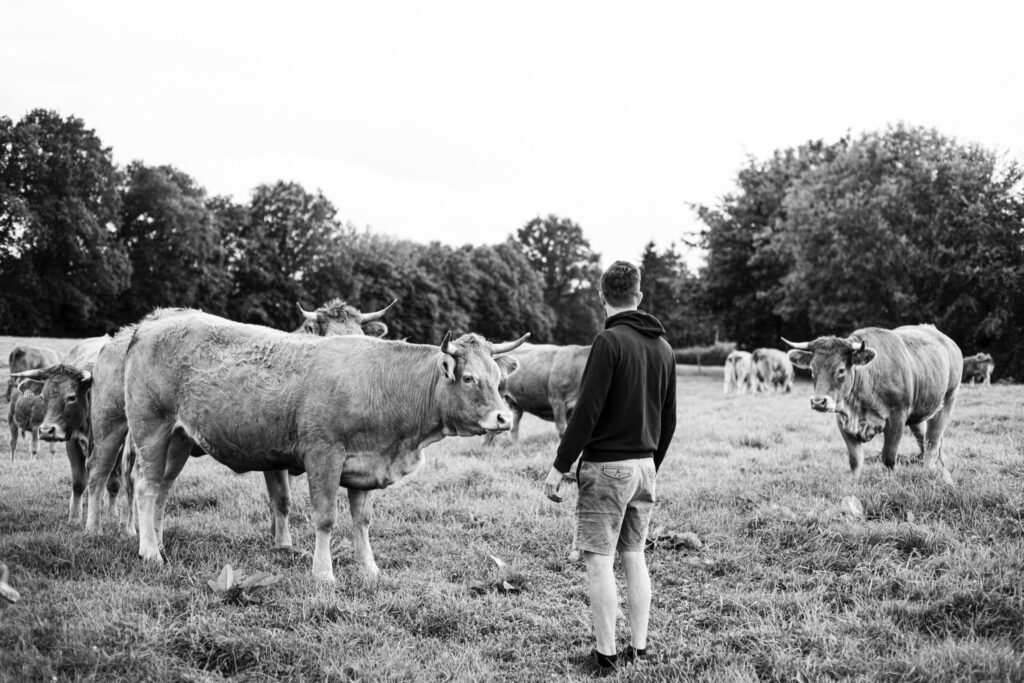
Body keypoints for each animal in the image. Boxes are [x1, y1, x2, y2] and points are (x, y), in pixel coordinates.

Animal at [11, 336, 112, 523]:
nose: (46, 431)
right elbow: (79, 482)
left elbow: (111, 480)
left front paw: (110, 514)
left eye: (71, 397)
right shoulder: (72, 442)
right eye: (42, 396)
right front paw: (74, 518)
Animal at [84, 299, 397, 537]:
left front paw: (277, 539)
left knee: (148, 482)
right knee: (100, 473)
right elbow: (282, 500)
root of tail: (135, 329)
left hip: (165, 440)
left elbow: (282, 502)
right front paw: (283, 543)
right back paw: (95, 529)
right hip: (111, 425)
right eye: (332, 339)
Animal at [124, 311, 526, 581]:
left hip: (179, 439)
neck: (380, 382)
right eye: (470, 378)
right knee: (145, 487)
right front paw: (323, 573)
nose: (503, 418)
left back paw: (158, 543)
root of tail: (150, 324)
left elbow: (362, 520)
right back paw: (150, 553)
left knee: (162, 489)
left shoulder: (365, 465)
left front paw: (369, 568)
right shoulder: (323, 457)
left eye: (498, 377)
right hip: (151, 430)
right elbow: (326, 518)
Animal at [784, 324, 962, 484]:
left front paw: (890, 482)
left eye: (841, 370)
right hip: (918, 412)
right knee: (924, 437)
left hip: (948, 398)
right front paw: (853, 485)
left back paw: (930, 470)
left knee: (933, 438)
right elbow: (855, 460)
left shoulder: (897, 417)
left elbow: (888, 457)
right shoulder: (843, 422)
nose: (818, 401)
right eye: (812, 370)